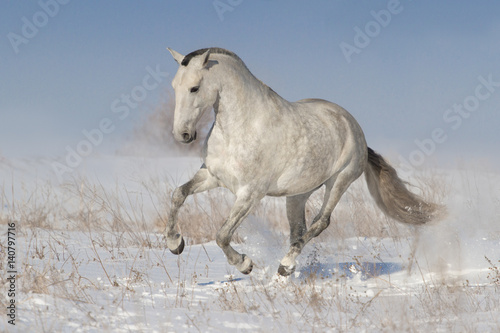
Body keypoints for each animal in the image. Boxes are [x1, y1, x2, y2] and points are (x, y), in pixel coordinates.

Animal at [165, 46, 442, 274]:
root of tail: (353, 127)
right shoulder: (212, 176)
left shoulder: (250, 193)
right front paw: (175, 243)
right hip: (297, 195)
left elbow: (222, 235)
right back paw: (288, 269)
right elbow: (178, 194)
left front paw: (245, 264)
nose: (182, 135)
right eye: (174, 86)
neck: (242, 128)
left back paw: (285, 266)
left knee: (320, 222)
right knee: (298, 230)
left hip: (339, 182)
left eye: (194, 88)